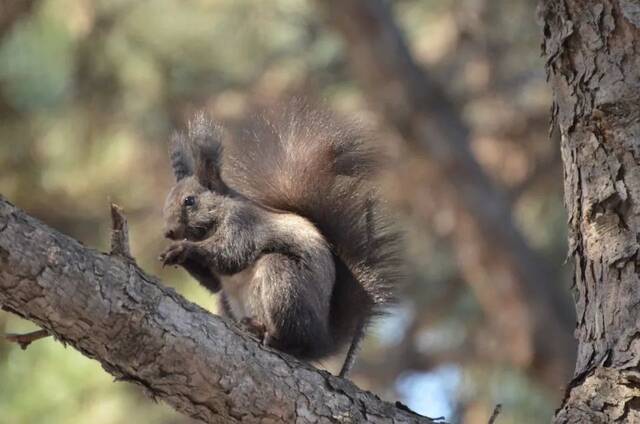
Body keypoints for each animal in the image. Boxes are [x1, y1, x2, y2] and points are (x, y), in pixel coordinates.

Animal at [159, 101, 400, 376]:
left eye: (190, 201)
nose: (168, 232)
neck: (214, 222)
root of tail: (322, 340)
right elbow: (214, 282)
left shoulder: (244, 224)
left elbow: (231, 255)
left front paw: (184, 249)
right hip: (232, 302)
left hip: (284, 284)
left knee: (294, 341)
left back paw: (271, 336)